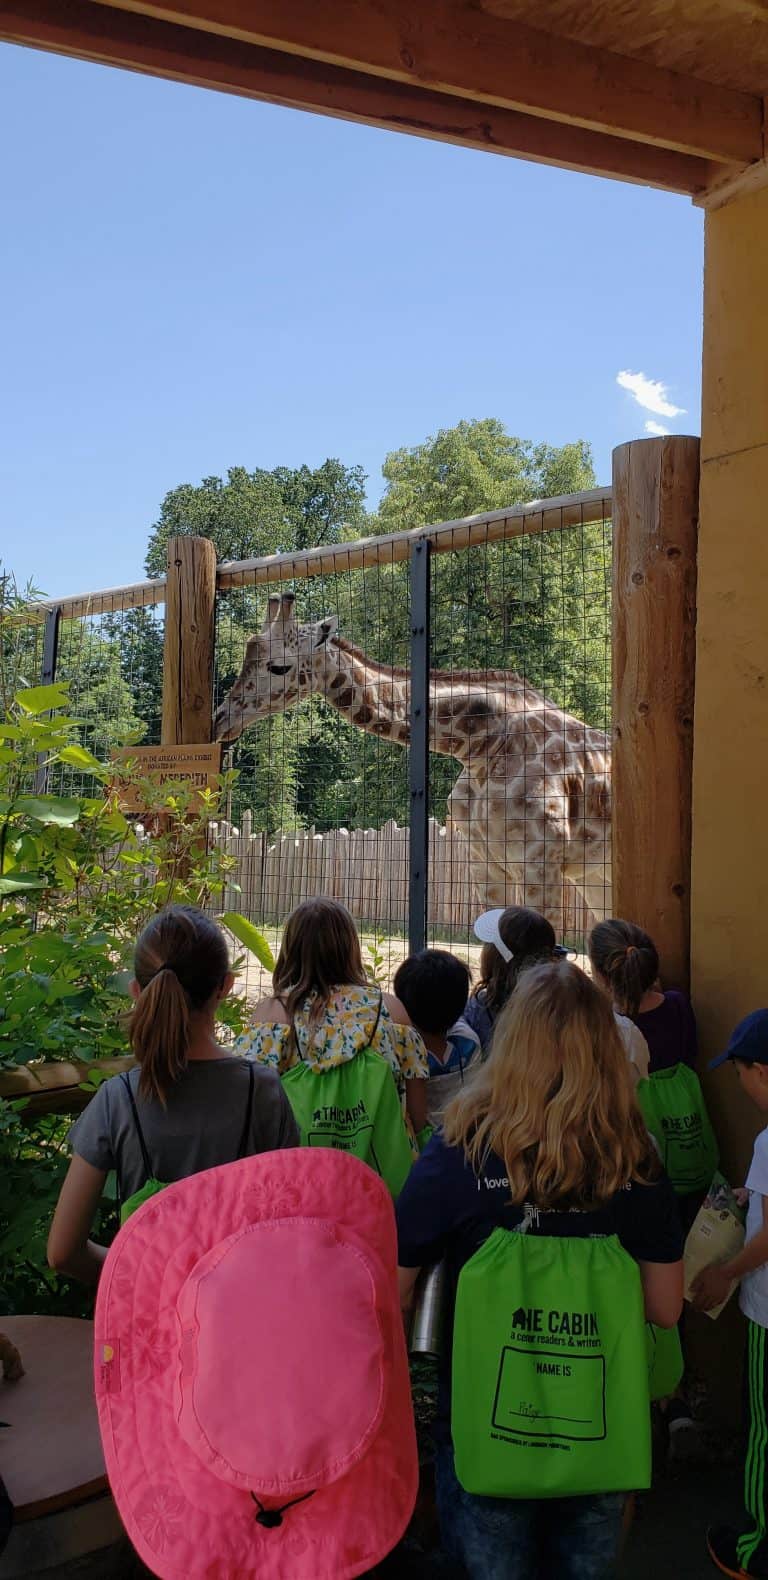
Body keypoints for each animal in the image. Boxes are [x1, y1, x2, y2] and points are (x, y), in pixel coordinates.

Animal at [211, 594, 613, 935]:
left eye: (279, 667)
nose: (220, 720)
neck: (479, 745)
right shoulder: (483, 864)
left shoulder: (541, 862)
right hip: (595, 877)